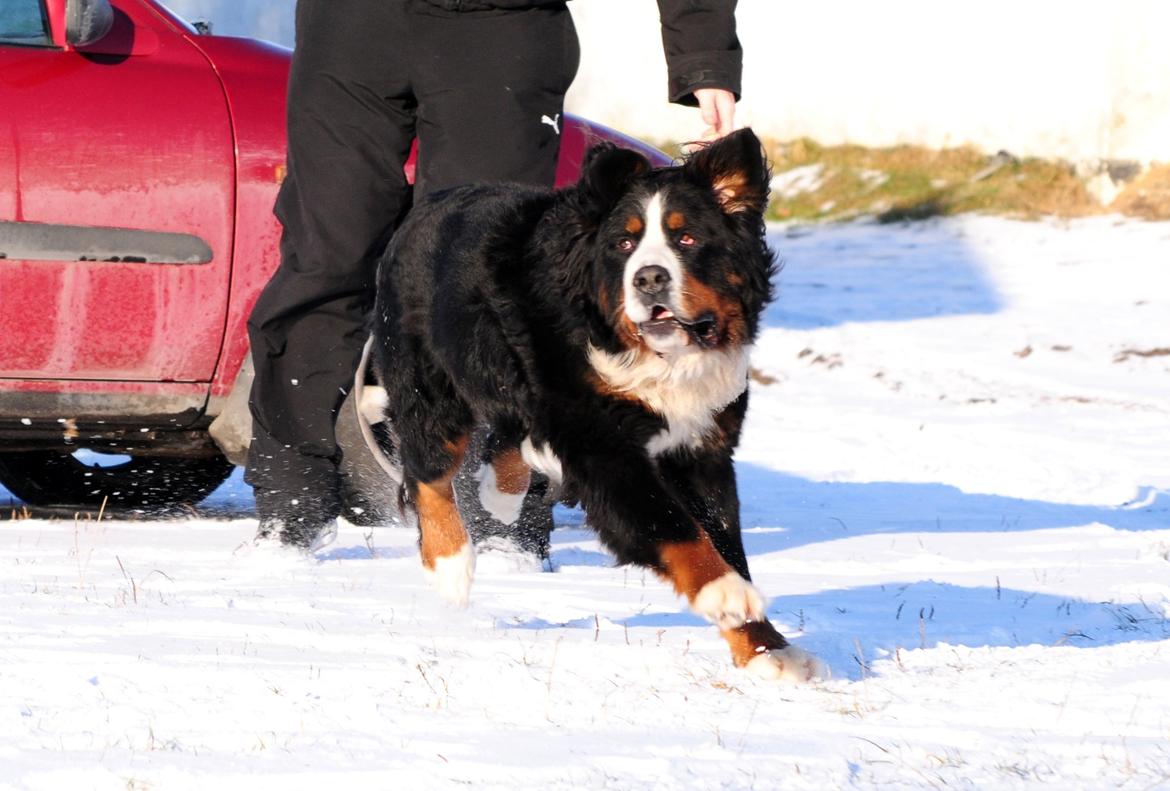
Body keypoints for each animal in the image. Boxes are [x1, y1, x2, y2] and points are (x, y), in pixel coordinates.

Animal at [360, 128, 828, 678]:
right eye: (624, 243)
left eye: (687, 239)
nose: (649, 278)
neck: (656, 358)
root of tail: (428, 203)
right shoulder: (602, 446)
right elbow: (677, 529)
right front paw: (728, 596)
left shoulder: (700, 446)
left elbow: (722, 537)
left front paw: (767, 651)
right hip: (430, 382)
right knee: (428, 470)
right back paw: (451, 567)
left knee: (507, 433)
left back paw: (502, 489)